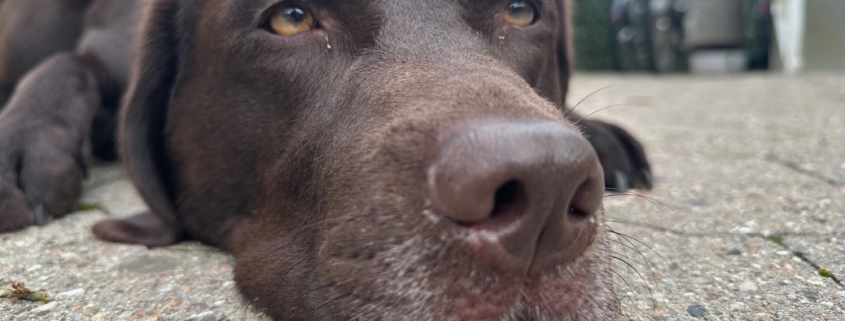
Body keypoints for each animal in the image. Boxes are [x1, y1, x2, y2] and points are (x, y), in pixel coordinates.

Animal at [0, 1, 652, 318]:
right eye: (290, 18)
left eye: (520, 10)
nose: (545, 190)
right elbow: (69, 64)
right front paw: (22, 144)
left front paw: (599, 132)